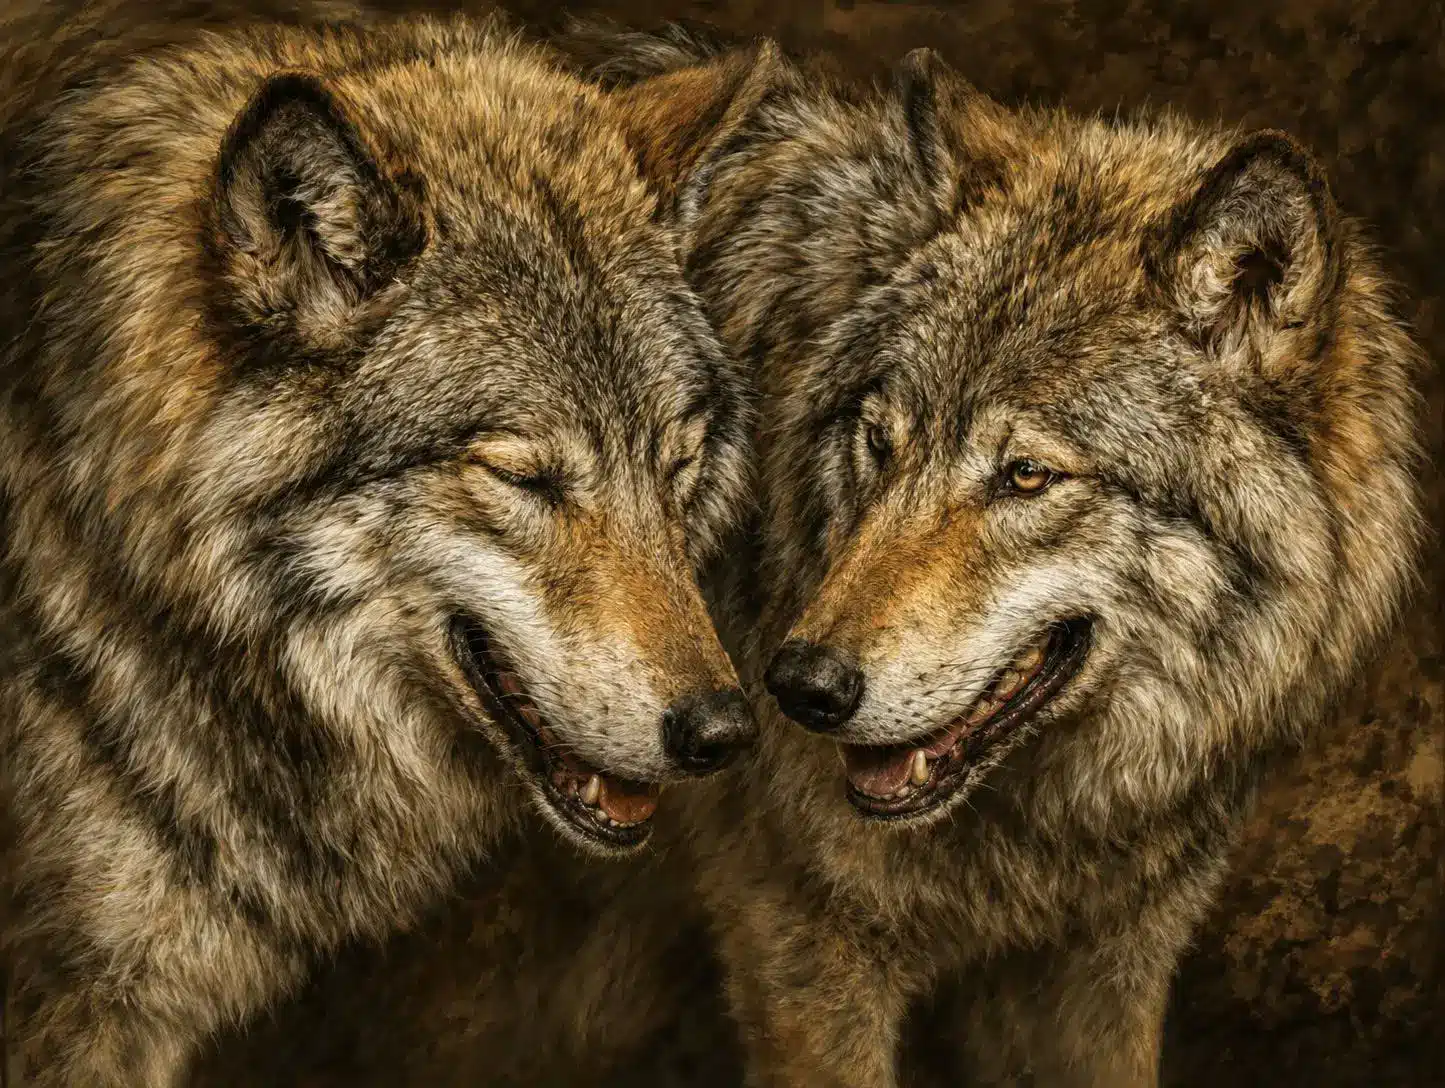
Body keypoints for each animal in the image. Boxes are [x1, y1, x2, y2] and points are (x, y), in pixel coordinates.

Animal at [549, 23, 1428, 1087]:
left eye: (1025, 476)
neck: (1045, 826)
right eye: (879, 444)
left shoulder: (1105, 965)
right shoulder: (800, 944)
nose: (799, 688)